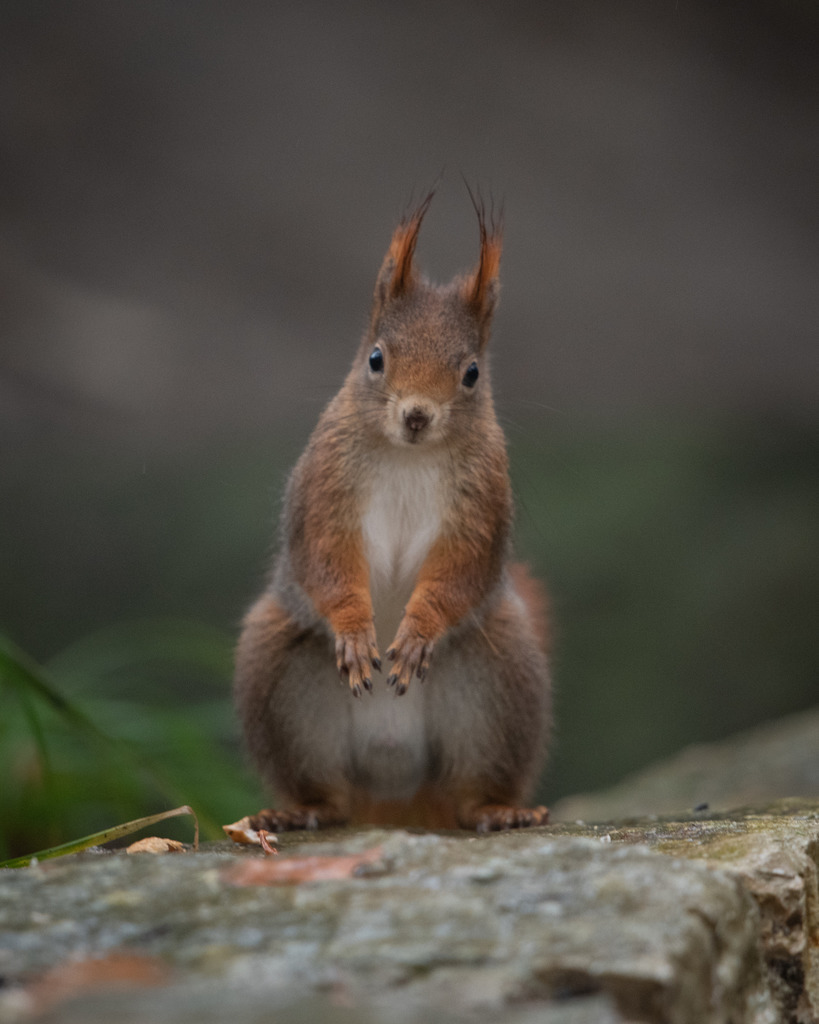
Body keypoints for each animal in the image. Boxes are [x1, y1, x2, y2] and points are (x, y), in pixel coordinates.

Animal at [233, 190, 552, 833]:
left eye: (471, 373)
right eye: (376, 359)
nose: (417, 415)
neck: (409, 455)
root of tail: (394, 796)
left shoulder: (481, 506)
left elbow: (460, 571)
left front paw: (419, 630)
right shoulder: (325, 490)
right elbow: (327, 557)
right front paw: (356, 630)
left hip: (500, 674)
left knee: (471, 786)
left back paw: (498, 809)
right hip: (278, 669)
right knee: (326, 789)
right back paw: (301, 810)